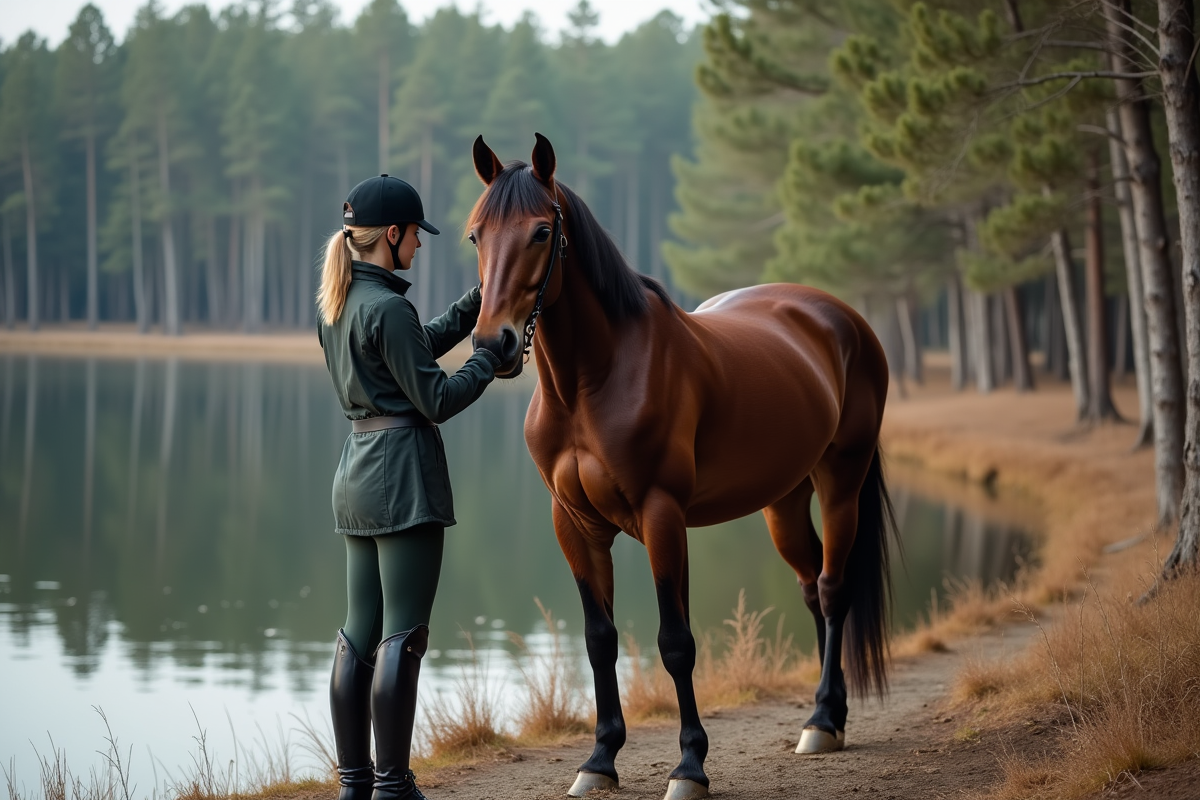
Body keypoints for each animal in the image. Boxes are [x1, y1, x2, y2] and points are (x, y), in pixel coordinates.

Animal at [467, 133, 897, 800]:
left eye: (541, 232)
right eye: (475, 235)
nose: (495, 345)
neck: (593, 381)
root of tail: (841, 317)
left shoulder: (662, 517)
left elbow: (675, 643)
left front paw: (690, 766)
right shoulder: (575, 525)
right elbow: (599, 641)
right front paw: (599, 760)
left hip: (840, 483)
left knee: (832, 590)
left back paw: (823, 722)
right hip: (783, 502)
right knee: (810, 589)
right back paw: (832, 715)